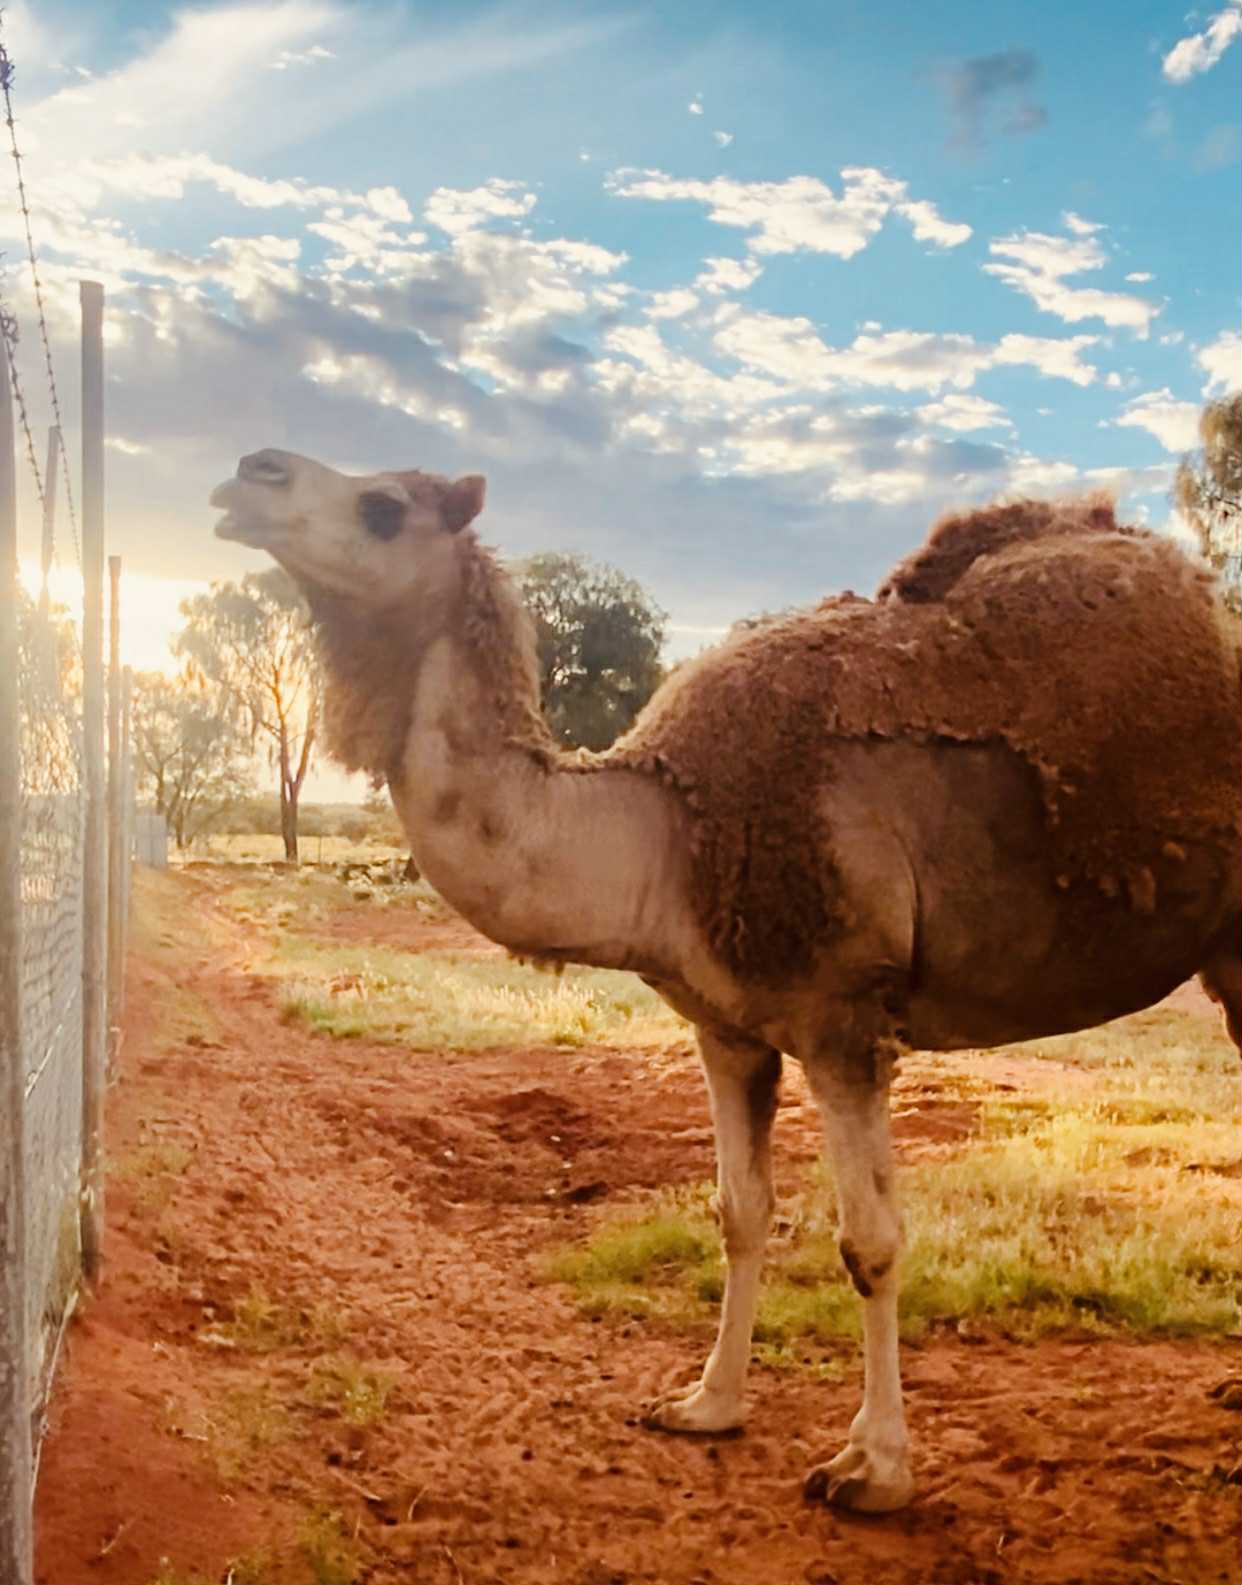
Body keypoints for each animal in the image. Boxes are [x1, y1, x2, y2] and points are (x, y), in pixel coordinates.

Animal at [210, 450, 1241, 1512]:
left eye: (381, 506)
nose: (249, 472)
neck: (662, 832)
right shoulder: (728, 1029)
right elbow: (740, 1213)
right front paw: (706, 1403)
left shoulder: (844, 1019)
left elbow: (869, 1240)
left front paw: (873, 1468)